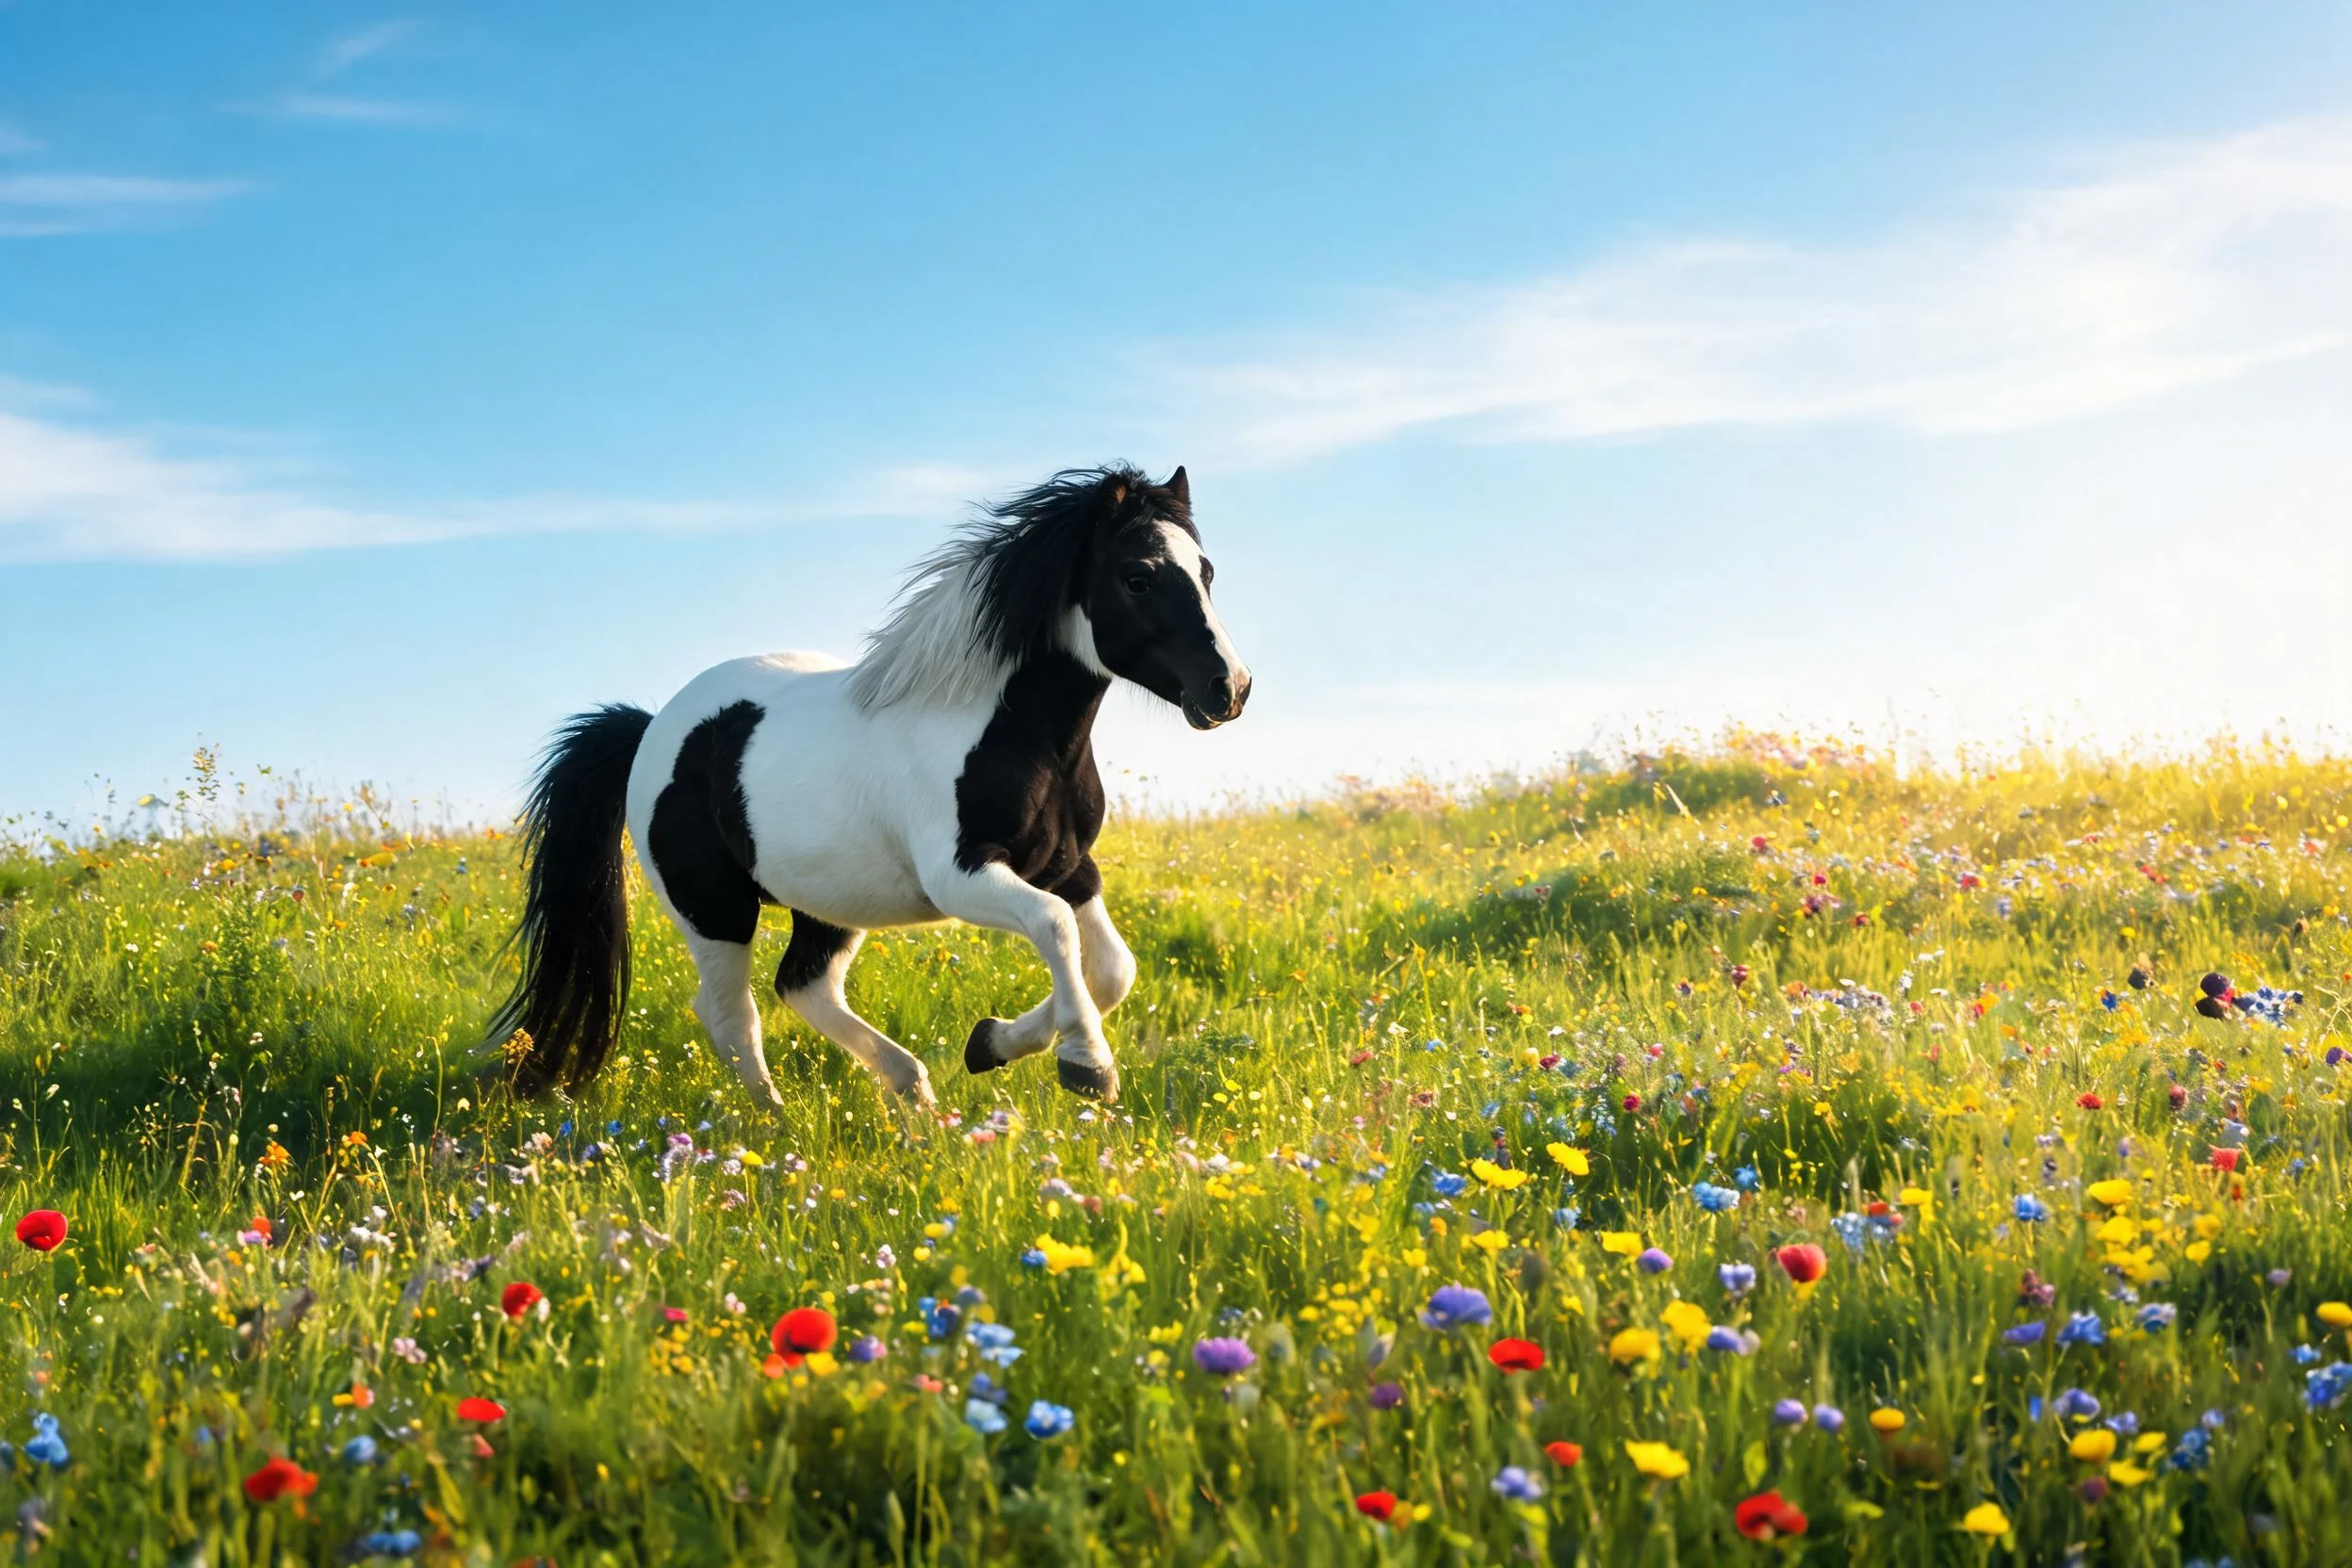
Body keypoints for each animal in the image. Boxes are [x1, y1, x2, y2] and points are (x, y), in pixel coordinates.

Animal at [487, 463, 1250, 1112]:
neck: (1011, 733)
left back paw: (914, 1095)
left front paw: (990, 1045)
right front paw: (1085, 1065)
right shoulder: (963, 875)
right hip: (715, 909)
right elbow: (1055, 927)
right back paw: (776, 1125)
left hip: (827, 901)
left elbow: (1112, 967)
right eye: (1138, 577)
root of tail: (650, 731)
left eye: (1206, 571)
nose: (1230, 689)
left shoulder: (1068, 865)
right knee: (732, 1014)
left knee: (803, 985)